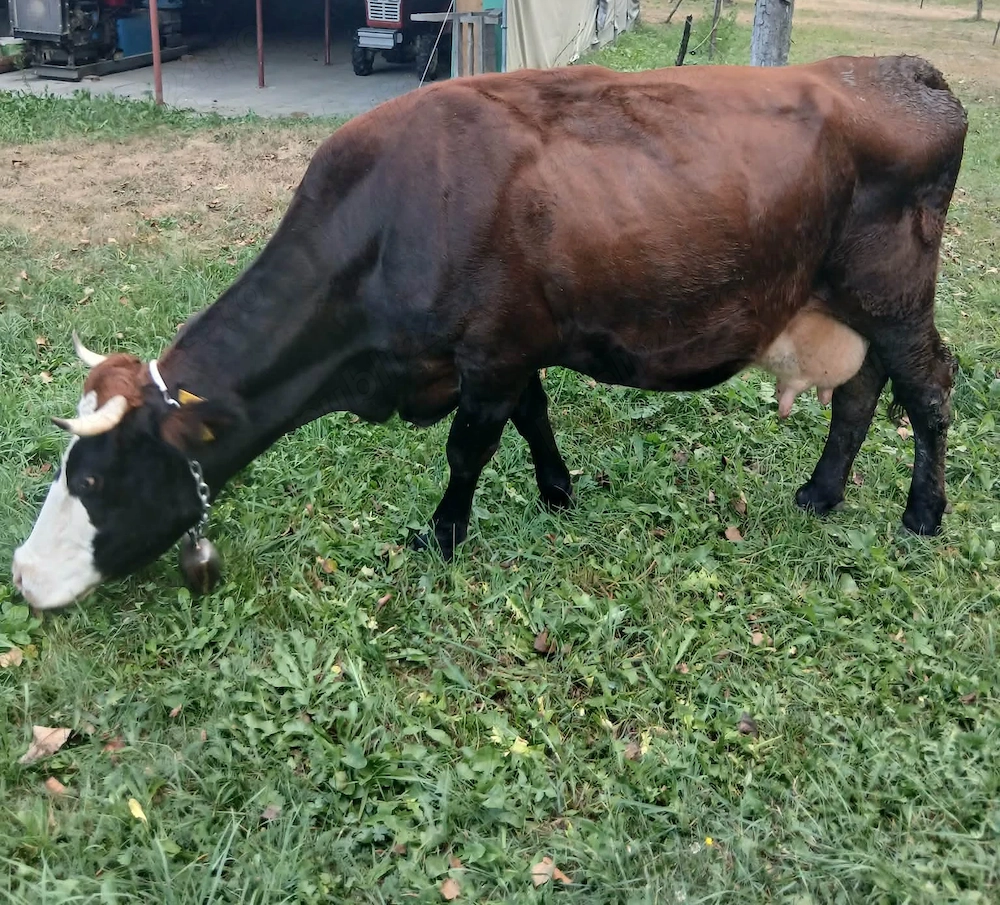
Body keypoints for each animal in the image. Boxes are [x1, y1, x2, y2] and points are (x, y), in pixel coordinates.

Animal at [12, 54, 967, 611]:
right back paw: (821, 492)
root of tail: (902, 70)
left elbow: (468, 448)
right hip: (848, 306)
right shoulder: (516, 344)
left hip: (894, 293)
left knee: (928, 385)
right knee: (860, 393)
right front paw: (558, 492)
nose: (20, 574)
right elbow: (534, 419)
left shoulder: (492, 352)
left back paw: (922, 513)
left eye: (94, 477)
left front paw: (441, 535)